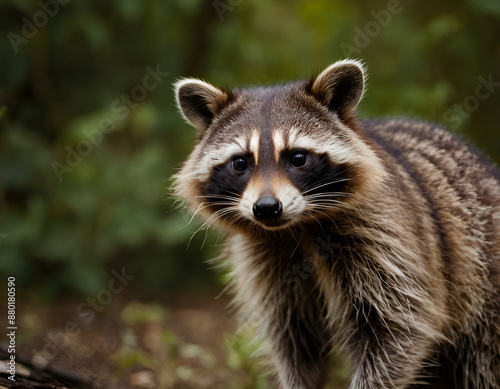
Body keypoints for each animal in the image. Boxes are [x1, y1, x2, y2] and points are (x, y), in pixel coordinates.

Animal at [173, 58, 500, 388]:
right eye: (240, 163)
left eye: (298, 158)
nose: (266, 208)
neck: (297, 228)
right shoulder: (269, 262)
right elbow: (293, 340)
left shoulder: (388, 241)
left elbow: (397, 329)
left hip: (484, 297)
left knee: (482, 363)